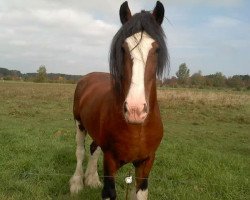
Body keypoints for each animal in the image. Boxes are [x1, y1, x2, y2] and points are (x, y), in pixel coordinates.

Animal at [69, 1, 169, 198]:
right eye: (123, 48)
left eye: (157, 49)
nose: (135, 110)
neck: (138, 128)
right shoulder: (110, 160)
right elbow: (109, 191)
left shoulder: (146, 162)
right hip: (79, 124)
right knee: (80, 151)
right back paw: (77, 183)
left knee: (93, 148)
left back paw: (92, 179)